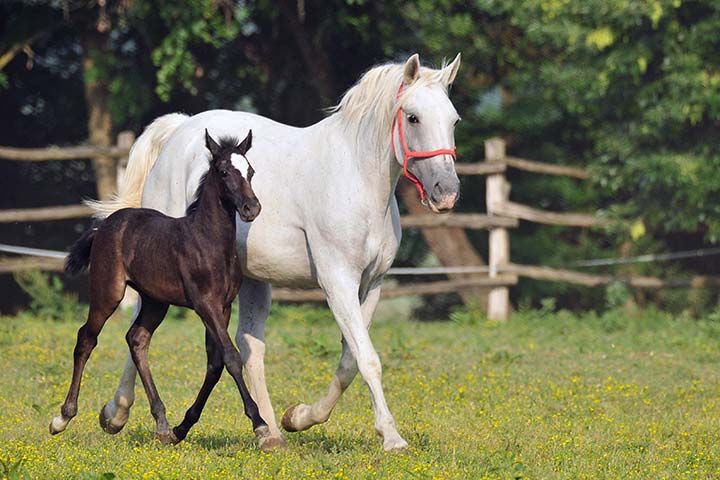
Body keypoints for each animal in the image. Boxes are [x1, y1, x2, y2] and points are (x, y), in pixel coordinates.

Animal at [50, 129, 276, 448]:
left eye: (251, 171)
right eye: (223, 171)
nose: (251, 208)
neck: (208, 241)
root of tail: (104, 226)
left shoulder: (222, 306)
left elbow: (215, 363)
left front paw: (182, 428)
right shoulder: (205, 303)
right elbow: (231, 357)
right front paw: (260, 424)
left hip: (155, 301)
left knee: (137, 339)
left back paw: (162, 424)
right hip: (108, 292)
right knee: (86, 339)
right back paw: (62, 417)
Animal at [90, 54, 462, 452]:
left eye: (453, 119)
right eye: (413, 117)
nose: (447, 192)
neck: (356, 179)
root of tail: (179, 130)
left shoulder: (371, 284)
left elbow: (350, 360)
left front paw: (299, 417)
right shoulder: (337, 281)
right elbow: (368, 359)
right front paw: (392, 438)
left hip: (253, 279)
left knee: (249, 347)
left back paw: (269, 432)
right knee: (139, 329)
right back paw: (115, 414)